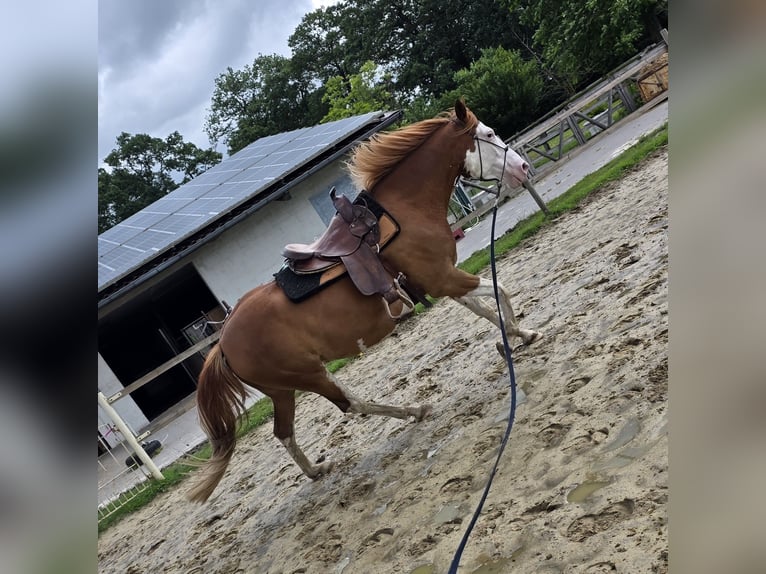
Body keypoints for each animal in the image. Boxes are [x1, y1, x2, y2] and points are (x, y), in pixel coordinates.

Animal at [187, 100, 541, 503]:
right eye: (488, 135)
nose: (523, 167)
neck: (405, 210)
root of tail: (223, 342)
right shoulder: (445, 278)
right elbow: (500, 290)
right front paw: (522, 333)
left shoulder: (445, 282)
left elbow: (485, 310)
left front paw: (513, 336)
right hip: (309, 375)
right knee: (349, 404)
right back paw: (414, 409)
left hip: (283, 389)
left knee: (284, 432)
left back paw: (317, 470)